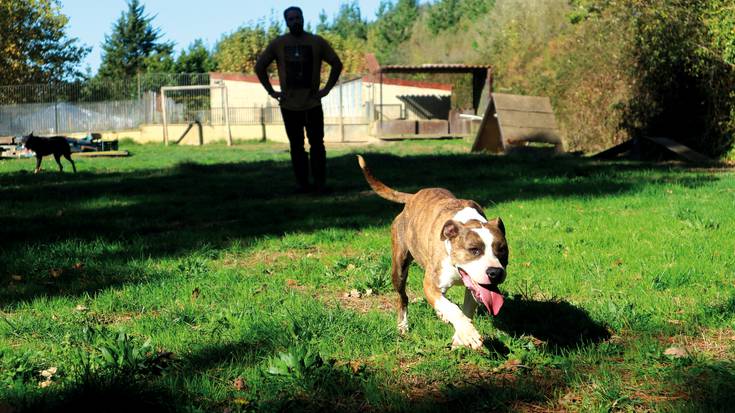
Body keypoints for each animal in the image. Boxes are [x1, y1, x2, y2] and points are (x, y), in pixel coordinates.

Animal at [356, 156, 506, 350]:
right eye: (474, 250)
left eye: (502, 250)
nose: (495, 272)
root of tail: (413, 197)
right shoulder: (430, 284)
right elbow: (453, 309)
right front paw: (468, 333)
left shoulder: (475, 287)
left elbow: (466, 309)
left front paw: (460, 336)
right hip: (399, 269)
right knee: (403, 297)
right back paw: (403, 325)